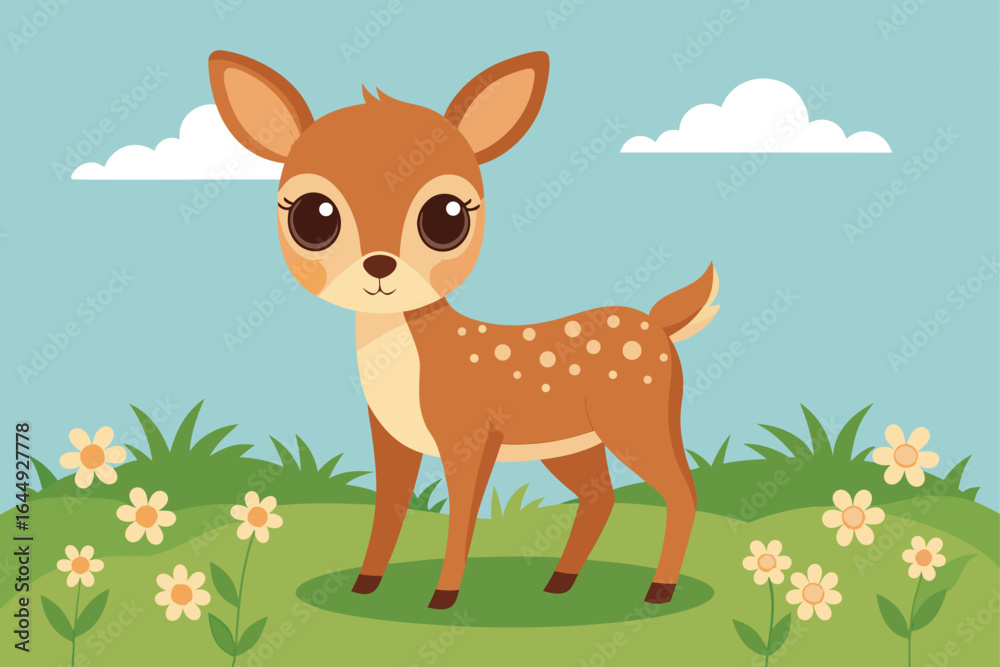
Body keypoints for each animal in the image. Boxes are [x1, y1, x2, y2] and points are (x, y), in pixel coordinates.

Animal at [208, 50, 719, 610]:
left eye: (447, 216)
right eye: (312, 217)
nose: (379, 266)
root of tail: (660, 324)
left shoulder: (469, 434)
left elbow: (463, 514)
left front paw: (443, 596)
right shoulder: (390, 437)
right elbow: (388, 509)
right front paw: (365, 585)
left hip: (636, 417)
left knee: (682, 491)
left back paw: (659, 589)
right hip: (571, 441)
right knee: (599, 496)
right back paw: (559, 582)